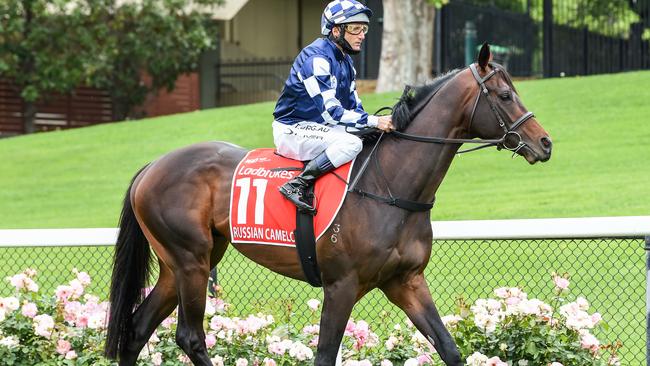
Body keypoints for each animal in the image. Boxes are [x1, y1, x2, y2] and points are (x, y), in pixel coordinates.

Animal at [105, 43, 548, 366]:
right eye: (505, 94)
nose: (544, 143)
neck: (390, 185)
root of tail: (151, 167)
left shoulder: (406, 280)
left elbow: (449, 348)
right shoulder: (341, 285)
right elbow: (324, 355)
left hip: (181, 263)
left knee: (137, 328)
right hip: (191, 261)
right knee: (190, 336)